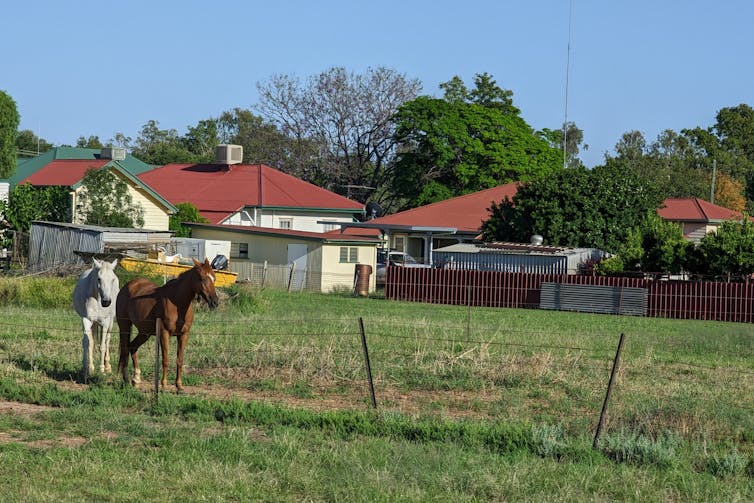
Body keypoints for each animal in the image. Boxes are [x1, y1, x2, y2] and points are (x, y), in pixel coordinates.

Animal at [116, 258, 219, 392]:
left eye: (214, 278)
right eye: (202, 278)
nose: (215, 302)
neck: (177, 303)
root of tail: (126, 287)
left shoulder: (184, 335)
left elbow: (179, 360)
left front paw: (179, 386)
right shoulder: (164, 333)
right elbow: (165, 359)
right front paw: (164, 385)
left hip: (144, 332)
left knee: (132, 347)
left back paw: (136, 379)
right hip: (124, 326)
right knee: (124, 349)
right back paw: (124, 378)